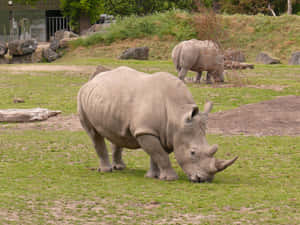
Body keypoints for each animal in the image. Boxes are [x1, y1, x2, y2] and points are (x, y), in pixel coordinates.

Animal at [77, 66, 237, 182]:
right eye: (192, 152)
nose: (204, 179)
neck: (177, 113)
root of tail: (91, 81)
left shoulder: (165, 132)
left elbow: (156, 155)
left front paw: (153, 176)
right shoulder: (146, 130)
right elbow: (160, 154)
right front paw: (170, 179)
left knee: (116, 133)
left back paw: (120, 167)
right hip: (81, 97)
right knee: (94, 134)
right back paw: (106, 170)